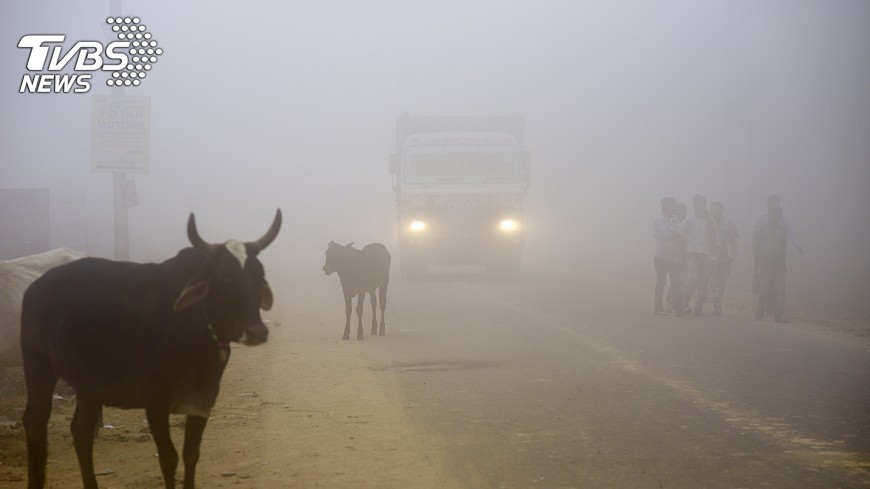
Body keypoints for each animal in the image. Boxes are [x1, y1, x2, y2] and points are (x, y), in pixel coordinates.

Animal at [19, 210, 282, 488]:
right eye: (224, 275)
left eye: (259, 273)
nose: (257, 331)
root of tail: (36, 286)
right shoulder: (155, 401)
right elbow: (169, 458)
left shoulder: (203, 400)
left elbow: (192, 454)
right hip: (38, 367)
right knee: (35, 421)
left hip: (89, 385)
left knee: (81, 431)